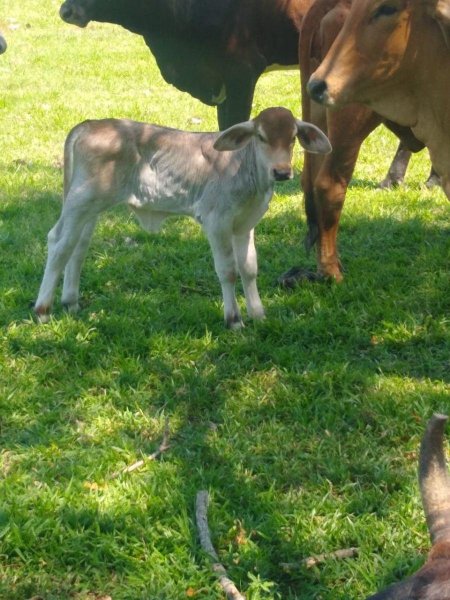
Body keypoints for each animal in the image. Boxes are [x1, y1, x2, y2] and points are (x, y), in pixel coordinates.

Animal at [34, 105, 330, 326]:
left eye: (293, 137)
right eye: (261, 137)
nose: (281, 172)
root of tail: (90, 124)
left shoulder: (245, 225)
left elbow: (249, 268)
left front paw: (258, 315)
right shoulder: (216, 221)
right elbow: (228, 271)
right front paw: (234, 319)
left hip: (91, 208)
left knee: (78, 247)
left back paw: (71, 302)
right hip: (80, 201)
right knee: (59, 243)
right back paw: (43, 310)